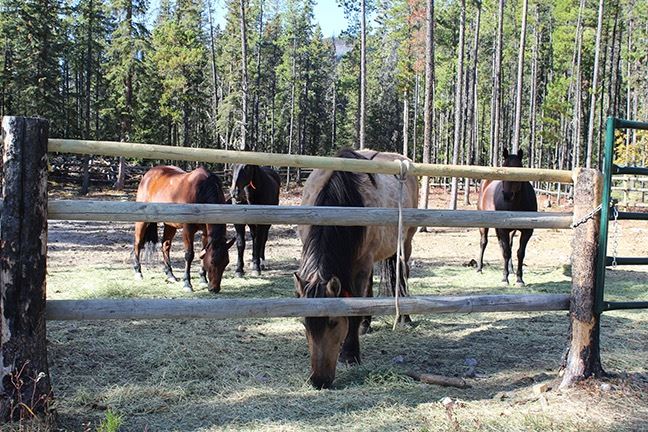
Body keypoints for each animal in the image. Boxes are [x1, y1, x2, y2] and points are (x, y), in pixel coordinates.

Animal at [294, 149, 418, 389]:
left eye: (333, 322)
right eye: (305, 323)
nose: (319, 381)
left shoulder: (360, 265)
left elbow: (354, 311)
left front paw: (350, 354)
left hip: (404, 243)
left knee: (402, 275)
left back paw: (405, 318)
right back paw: (366, 325)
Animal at [476, 148, 538, 286]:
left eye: (518, 169)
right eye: (504, 167)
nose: (507, 195)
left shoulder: (527, 231)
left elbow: (520, 253)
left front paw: (519, 279)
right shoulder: (503, 229)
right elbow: (506, 252)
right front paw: (505, 278)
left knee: (507, 245)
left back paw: (511, 269)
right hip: (485, 224)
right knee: (484, 242)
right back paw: (479, 268)